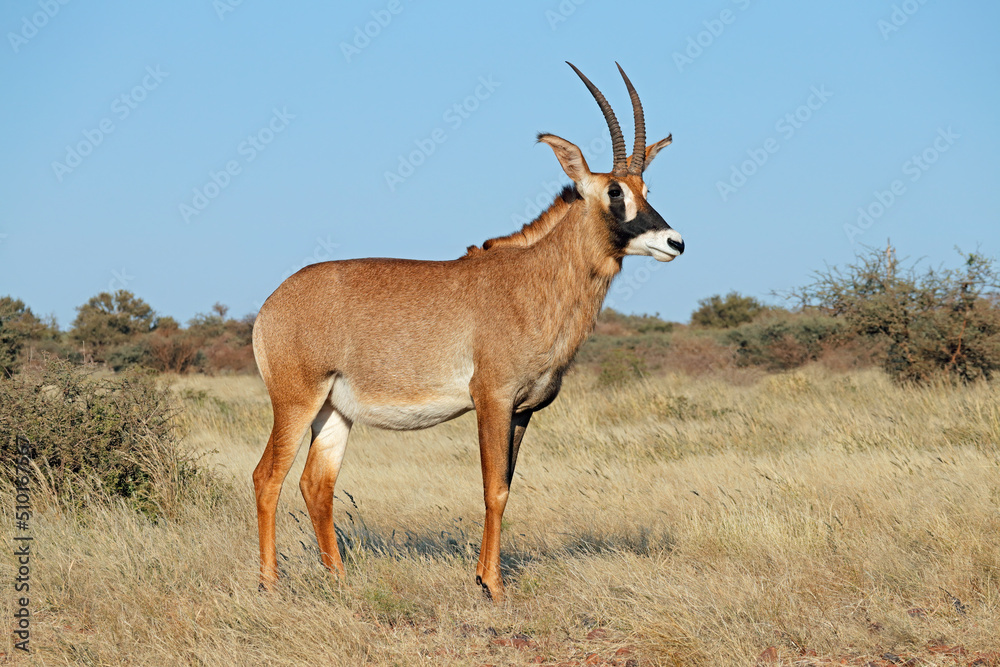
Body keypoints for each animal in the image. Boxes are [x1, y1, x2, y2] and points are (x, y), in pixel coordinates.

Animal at [251, 62, 685, 601]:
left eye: (647, 189)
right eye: (613, 191)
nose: (674, 241)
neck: (530, 278)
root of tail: (271, 305)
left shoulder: (523, 411)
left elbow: (506, 488)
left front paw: (484, 577)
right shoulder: (492, 399)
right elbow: (492, 489)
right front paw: (492, 585)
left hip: (334, 411)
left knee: (316, 484)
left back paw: (341, 581)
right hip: (296, 400)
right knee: (267, 477)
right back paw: (269, 584)